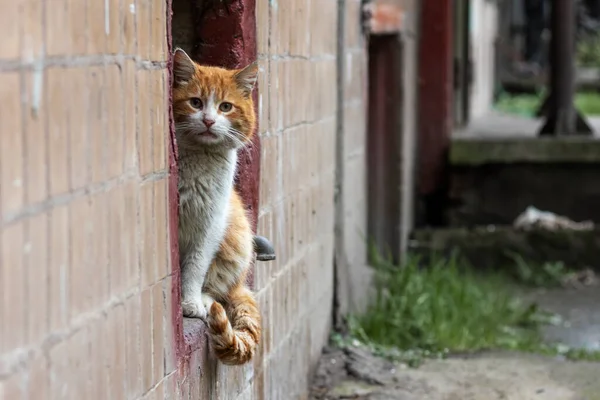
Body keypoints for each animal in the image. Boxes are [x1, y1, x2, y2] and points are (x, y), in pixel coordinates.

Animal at [171, 47, 260, 366]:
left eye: (225, 107)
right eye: (196, 102)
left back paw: (207, 301)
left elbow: (195, 266)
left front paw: (190, 302)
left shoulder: (210, 223)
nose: (209, 121)